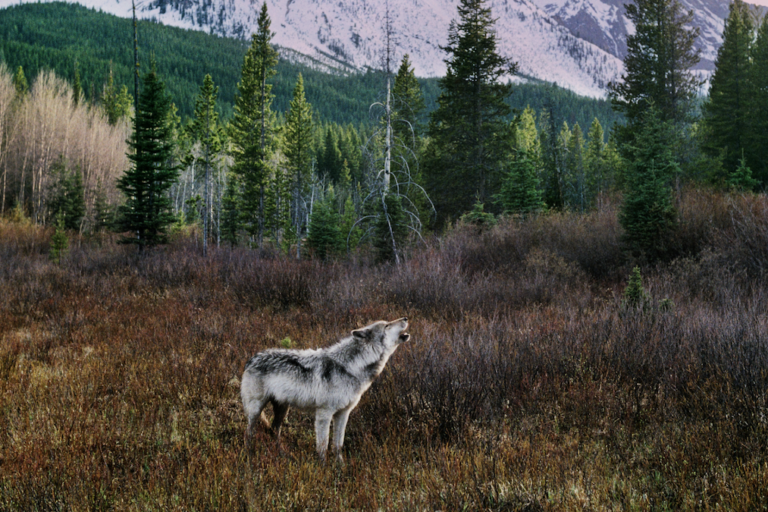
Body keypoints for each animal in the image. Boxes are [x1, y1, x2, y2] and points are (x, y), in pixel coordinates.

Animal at [241, 317, 410, 462]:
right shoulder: (324, 413)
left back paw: (281, 454)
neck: (351, 367)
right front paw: (324, 469)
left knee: (273, 430)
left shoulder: (343, 414)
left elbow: (338, 445)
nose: (406, 318)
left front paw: (340, 466)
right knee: (248, 433)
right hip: (256, 409)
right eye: (387, 325)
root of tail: (252, 358)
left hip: (282, 410)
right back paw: (249, 455)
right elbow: (323, 446)